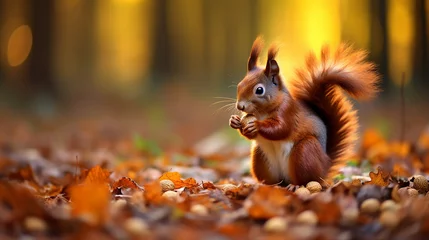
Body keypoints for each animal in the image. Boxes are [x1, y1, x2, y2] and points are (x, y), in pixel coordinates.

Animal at [227, 37, 378, 187]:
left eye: (259, 90)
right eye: (240, 85)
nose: (240, 106)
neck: (261, 112)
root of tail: (325, 167)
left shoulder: (288, 111)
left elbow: (281, 128)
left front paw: (257, 125)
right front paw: (234, 121)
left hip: (305, 151)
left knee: (306, 179)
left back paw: (296, 185)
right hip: (260, 158)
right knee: (275, 180)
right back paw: (267, 185)